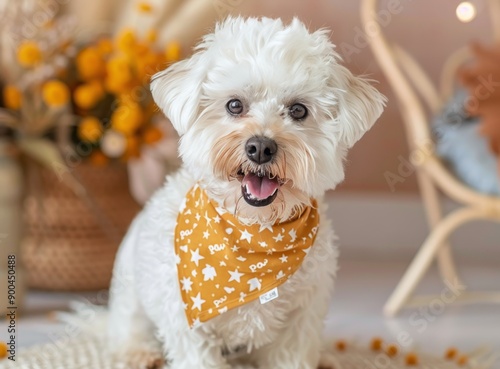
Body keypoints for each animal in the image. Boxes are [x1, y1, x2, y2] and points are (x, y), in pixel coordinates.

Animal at [107, 15, 384, 366]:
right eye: (235, 105)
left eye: (298, 110)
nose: (261, 147)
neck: (255, 231)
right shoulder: (185, 318)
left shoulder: (301, 318)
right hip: (132, 300)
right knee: (127, 329)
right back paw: (139, 352)